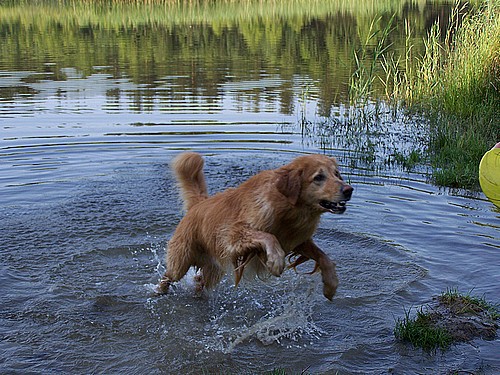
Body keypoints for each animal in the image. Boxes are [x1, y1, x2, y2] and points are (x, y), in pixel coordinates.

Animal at [158, 151, 354, 302]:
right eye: (319, 177)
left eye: (337, 174)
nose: (349, 190)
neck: (287, 209)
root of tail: (199, 204)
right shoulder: (232, 235)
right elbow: (268, 236)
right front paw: (275, 261)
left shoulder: (298, 241)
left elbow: (324, 257)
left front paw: (331, 285)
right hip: (181, 261)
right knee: (168, 276)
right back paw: (159, 291)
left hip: (214, 268)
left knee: (199, 281)